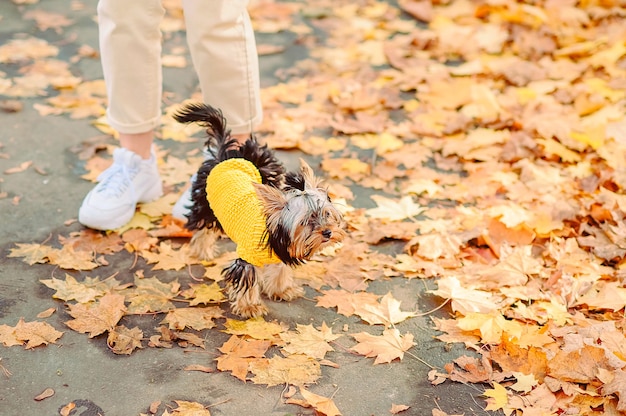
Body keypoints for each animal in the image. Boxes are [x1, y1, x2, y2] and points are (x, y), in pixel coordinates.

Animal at [173, 104, 344, 318]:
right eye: (305, 221)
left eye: (326, 214)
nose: (328, 232)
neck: (275, 235)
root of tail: (223, 156)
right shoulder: (247, 258)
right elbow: (248, 279)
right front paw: (249, 307)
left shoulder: (281, 255)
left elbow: (279, 269)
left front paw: (281, 289)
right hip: (205, 204)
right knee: (203, 226)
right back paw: (203, 251)